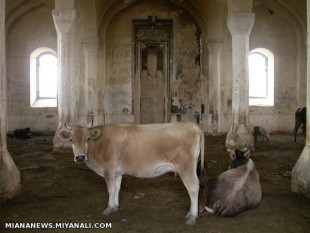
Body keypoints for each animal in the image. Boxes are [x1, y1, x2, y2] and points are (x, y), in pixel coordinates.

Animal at [59, 122, 206, 224]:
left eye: (88, 138)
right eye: (71, 140)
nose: (80, 157)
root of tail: (192, 124)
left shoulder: (109, 169)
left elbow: (110, 189)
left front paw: (109, 208)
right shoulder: (117, 172)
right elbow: (117, 189)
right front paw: (115, 206)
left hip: (186, 168)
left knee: (193, 188)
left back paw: (192, 216)